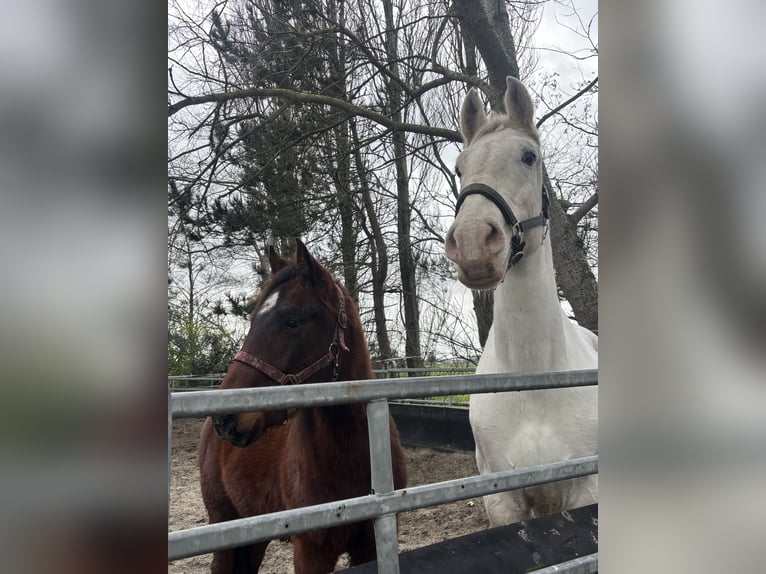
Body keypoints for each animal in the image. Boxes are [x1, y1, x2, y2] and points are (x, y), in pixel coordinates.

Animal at [201, 241, 412, 572]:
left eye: (292, 321)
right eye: (252, 320)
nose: (224, 418)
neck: (352, 453)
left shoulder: (371, 546)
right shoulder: (311, 551)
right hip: (224, 526)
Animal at [444, 77, 600, 532]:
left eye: (529, 157)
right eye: (460, 168)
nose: (473, 243)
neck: (533, 389)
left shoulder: (586, 494)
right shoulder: (504, 502)